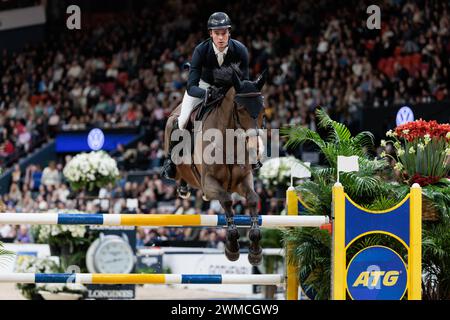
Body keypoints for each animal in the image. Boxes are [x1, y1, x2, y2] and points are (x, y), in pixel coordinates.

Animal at [163, 70, 266, 264]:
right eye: (240, 108)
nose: (255, 149)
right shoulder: (209, 183)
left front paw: (255, 251)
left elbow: (253, 199)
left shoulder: (243, 180)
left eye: (263, 109)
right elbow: (226, 200)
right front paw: (232, 247)